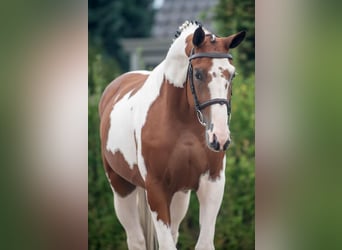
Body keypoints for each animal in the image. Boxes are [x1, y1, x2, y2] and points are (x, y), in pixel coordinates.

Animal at [99, 20, 246, 249]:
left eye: (232, 75)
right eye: (198, 74)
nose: (220, 139)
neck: (183, 125)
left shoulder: (212, 183)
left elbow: (204, 243)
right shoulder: (156, 190)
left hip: (180, 194)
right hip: (121, 187)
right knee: (136, 239)